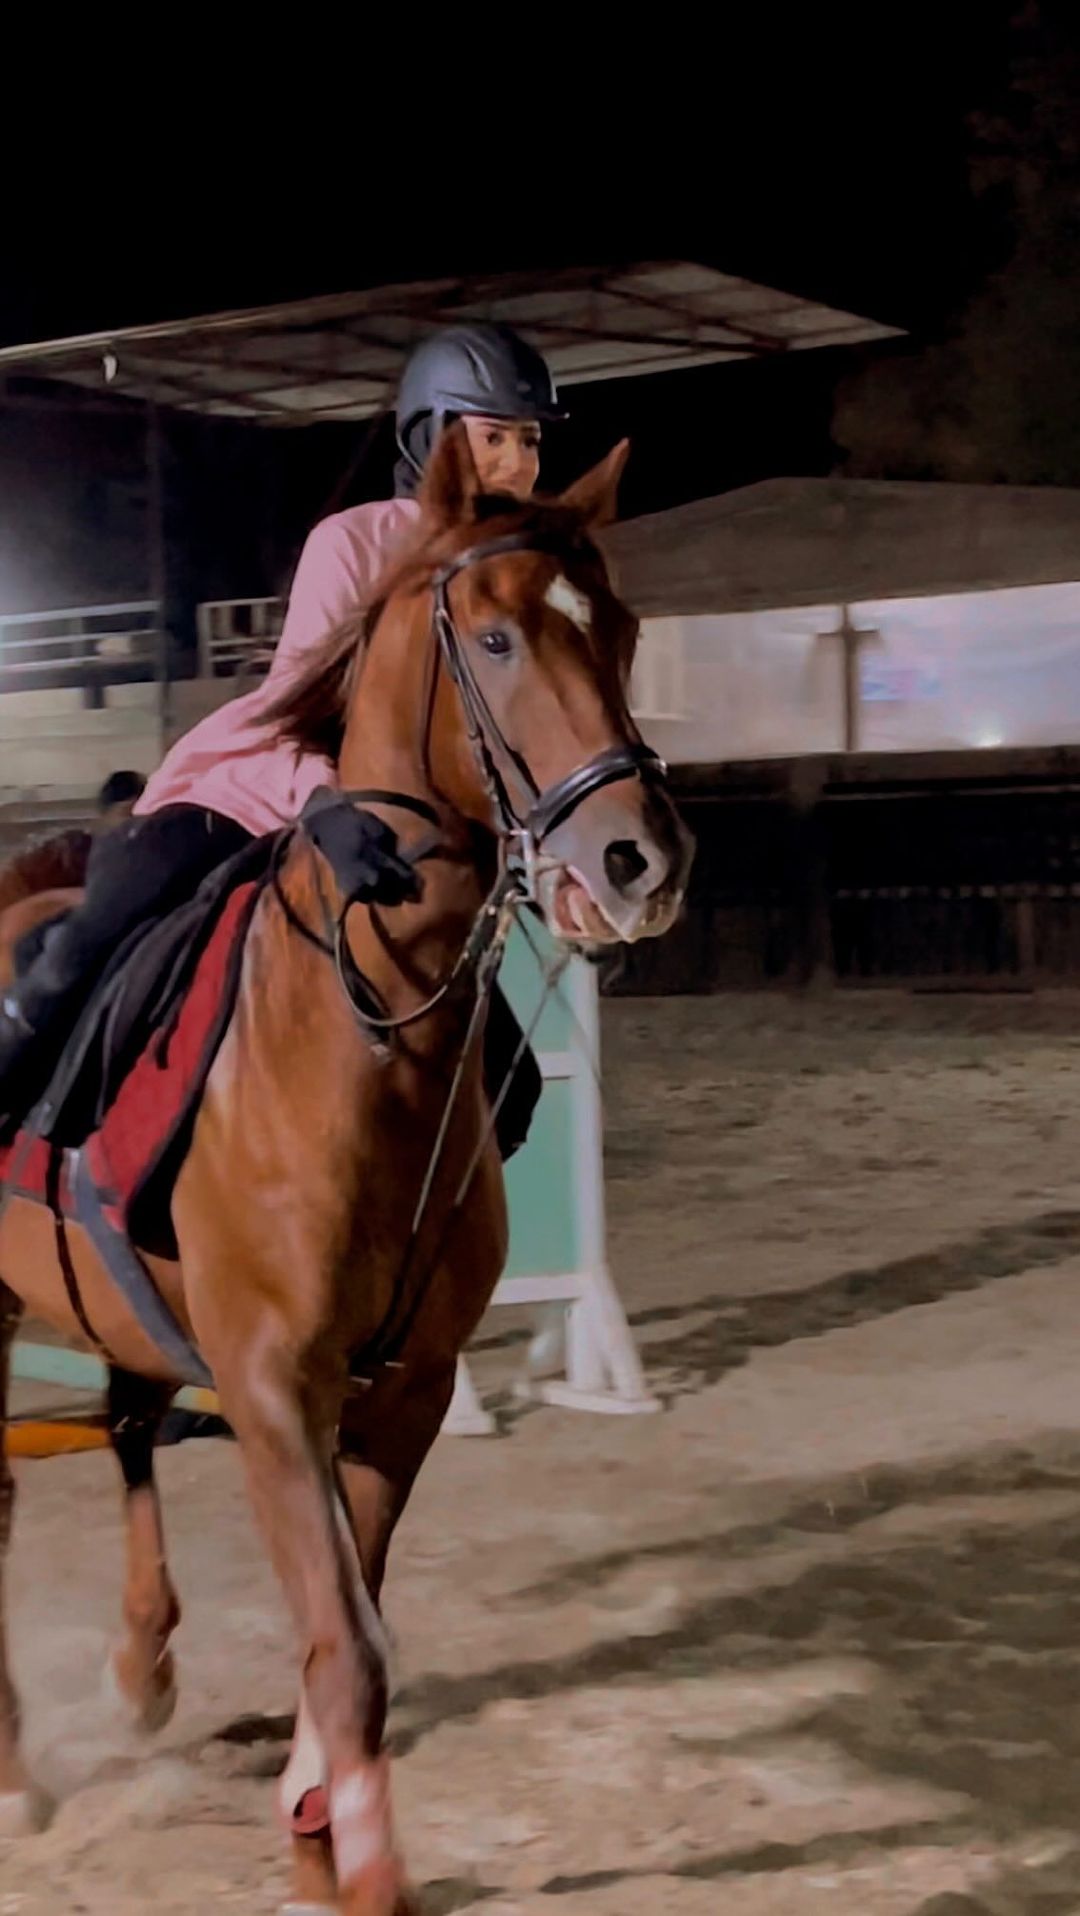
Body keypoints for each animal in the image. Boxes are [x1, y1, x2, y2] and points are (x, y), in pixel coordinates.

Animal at [0, 426, 692, 1915]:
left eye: (618, 628)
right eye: (494, 638)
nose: (640, 860)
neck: (361, 1038)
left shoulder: (402, 1392)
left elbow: (350, 1623)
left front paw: (316, 1815)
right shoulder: (271, 1387)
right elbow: (350, 1643)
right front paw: (360, 1859)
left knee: (129, 1427)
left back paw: (141, 1665)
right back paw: (23, 1766)